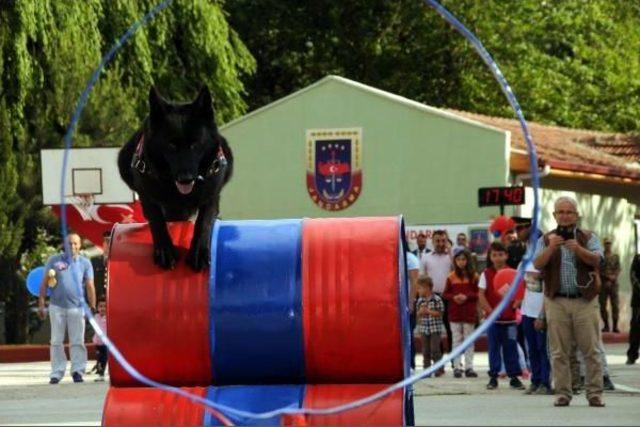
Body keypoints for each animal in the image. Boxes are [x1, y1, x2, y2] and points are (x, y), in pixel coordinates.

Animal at [117, 86, 232, 270]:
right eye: (171, 145)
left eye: (195, 144)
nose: (186, 178)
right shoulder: (146, 192)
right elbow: (156, 218)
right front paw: (165, 250)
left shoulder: (212, 194)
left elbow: (204, 220)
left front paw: (199, 251)